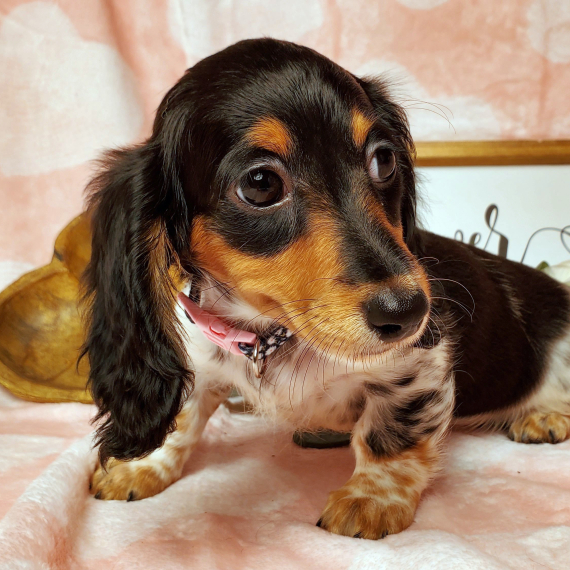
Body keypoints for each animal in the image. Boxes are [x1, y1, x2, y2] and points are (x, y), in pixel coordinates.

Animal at [83, 38, 568, 536]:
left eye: (384, 159)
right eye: (260, 184)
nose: (409, 312)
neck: (275, 335)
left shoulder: (418, 366)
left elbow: (389, 435)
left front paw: (371, 499)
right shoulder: (200, 352)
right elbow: (182, 416)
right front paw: (140, 466)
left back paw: (544, 414)